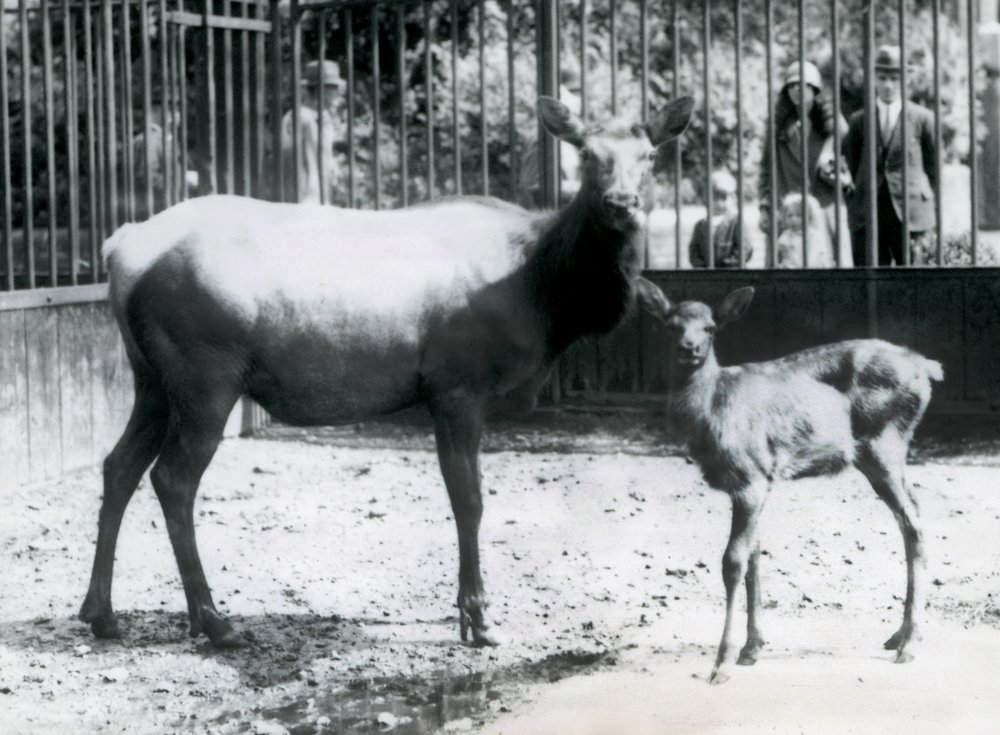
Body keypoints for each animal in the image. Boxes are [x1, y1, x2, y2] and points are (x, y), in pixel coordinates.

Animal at [78, 95, 694, 648]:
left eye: (649, 155)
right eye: (587, 153)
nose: (622, 202)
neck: (543, 292)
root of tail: (120, 250)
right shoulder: (458, 384)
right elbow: (469, 499)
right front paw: (478, 618)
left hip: (152, 378)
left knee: (118, 465)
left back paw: (101, 612)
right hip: (205, 374)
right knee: (172, 478)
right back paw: (213, 620)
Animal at [637, 283, 942, 684]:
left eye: (710, 328)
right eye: (670, 325)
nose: (690, 349)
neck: (713, 408)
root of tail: (928, 368)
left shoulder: (750, 475)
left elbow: (733, 561)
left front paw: (721, 662)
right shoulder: (753, 482)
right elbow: (754, 555)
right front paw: (751, 648)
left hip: (884, 443)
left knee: (913, 523)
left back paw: (910, 643)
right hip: (882, 454)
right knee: (914, 515)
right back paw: (898, 635)